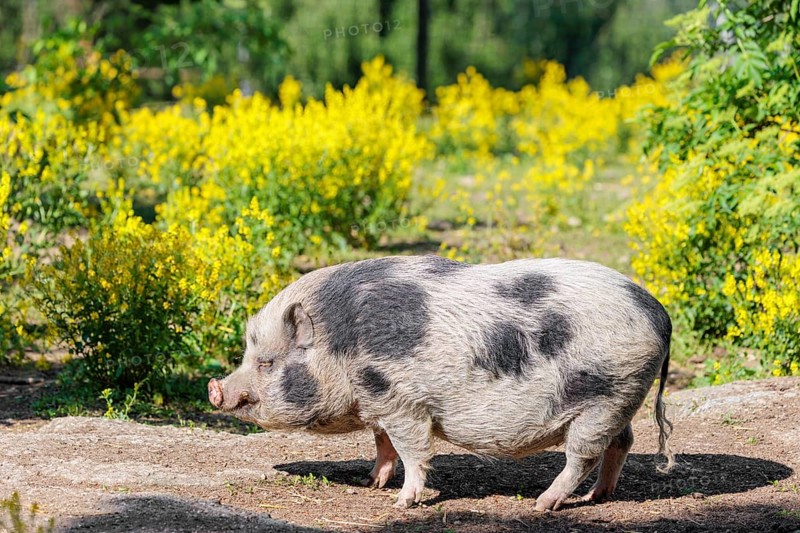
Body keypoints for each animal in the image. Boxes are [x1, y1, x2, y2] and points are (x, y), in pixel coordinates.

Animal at [208, 255, 674, 511]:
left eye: (266, 362)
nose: (216, 388)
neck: (341, 346)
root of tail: (659, 312)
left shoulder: (402, 401)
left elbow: (413, 450)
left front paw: (401, 503)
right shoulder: (378, 401)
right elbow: (383, 443)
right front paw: (370, 482)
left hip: (605, 396)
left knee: (583, 455)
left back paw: (544, 505)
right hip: (620, 399)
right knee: (622, 443)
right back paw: (597, 498)